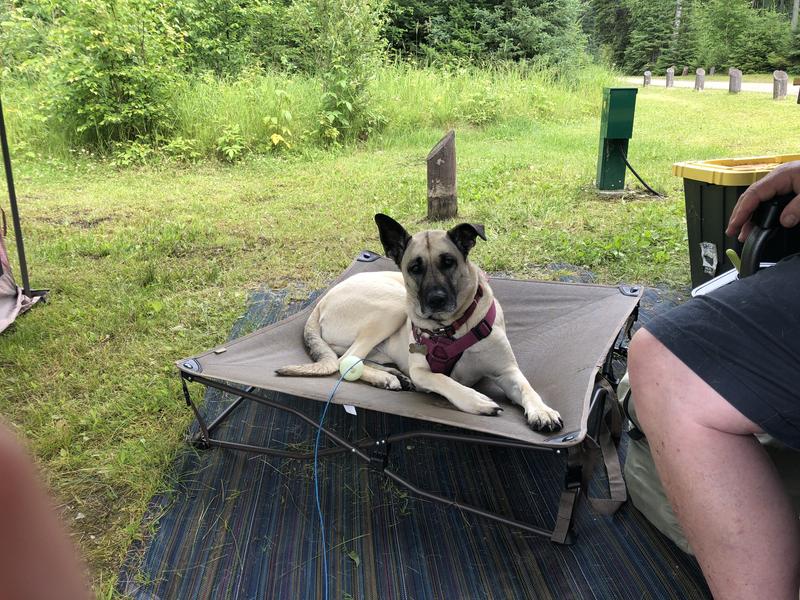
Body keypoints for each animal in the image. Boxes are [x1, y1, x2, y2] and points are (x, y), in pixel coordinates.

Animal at [278, 216, 564, 432]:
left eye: (448, 262)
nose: (436, 300)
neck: (450, 329)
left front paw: (542, 410)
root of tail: (320, 302)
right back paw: (386, 378)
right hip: (392, 305)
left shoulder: (507, 371)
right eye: (415, 268)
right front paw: (475, 400)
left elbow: (527, 387)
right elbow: (444, 380)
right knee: (346, 360)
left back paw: (390, 375)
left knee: (350, 359)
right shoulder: (423, 372)